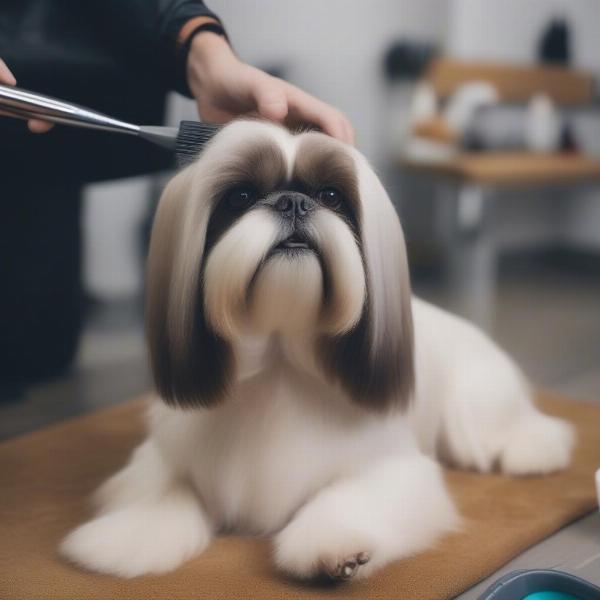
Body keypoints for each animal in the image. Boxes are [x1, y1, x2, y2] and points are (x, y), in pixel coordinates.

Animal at [62, 120, 576, 580]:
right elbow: (166, 491)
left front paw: (338, 549)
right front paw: (121, 541)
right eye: (240, 197)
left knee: (518, 433)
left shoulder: (393, 468)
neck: (279, 358)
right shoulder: (165, 456)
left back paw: (528, 452)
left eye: (331, 196)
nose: (292, 201)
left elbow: (349, 497)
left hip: (476, 408)